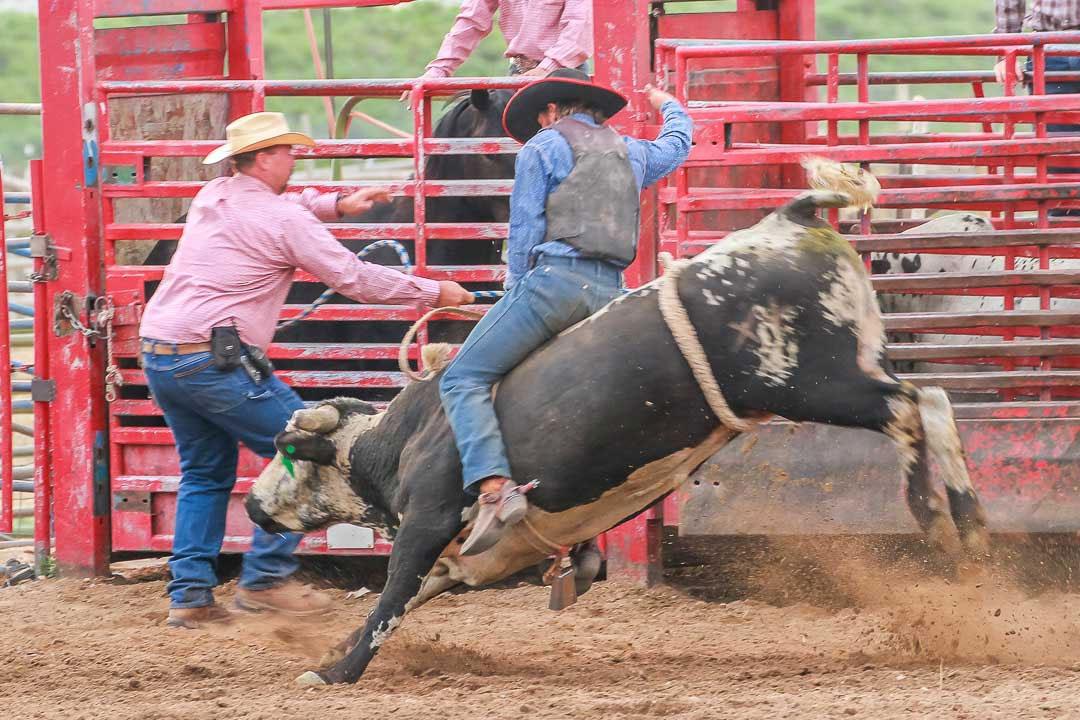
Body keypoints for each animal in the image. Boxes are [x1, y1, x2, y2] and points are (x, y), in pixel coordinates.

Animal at [245, 188, 989, 686]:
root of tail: (791, 218)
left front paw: (337, 670)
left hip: (811, 382)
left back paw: (937, 515)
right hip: (853, 363)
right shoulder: (477, 558)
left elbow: (394, 594)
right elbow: (423, 591)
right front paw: (334, 650)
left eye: (287, 449)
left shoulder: (429, 518)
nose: (251, 504)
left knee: (915, 407)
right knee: (930, 402)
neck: (397, 440)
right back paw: (968, 522)